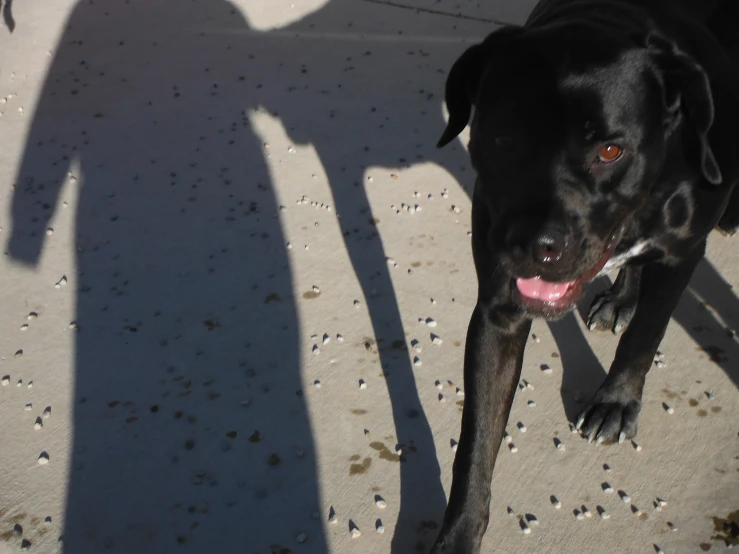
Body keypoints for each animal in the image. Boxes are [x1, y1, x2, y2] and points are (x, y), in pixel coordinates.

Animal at [430, 2, 736, 548]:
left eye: (611, 151)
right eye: (504, 138)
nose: (538, 246)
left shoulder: (682, 254)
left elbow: (645, 335)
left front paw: (616, 401)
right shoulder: (500, 309)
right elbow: (476, 442)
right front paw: (459, 534)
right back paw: (620, 297)